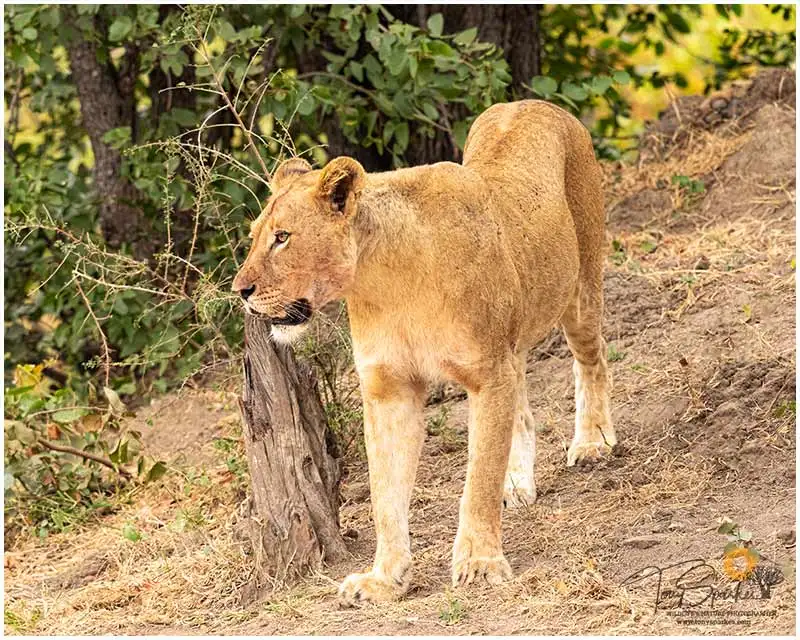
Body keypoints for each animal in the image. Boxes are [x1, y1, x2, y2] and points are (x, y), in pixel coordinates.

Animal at [232, 100, 616, 605]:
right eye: (256, 235)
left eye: (283, 237)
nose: (240, 290)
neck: (385, 280)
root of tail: (532, 103)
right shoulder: (389, 389)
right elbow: (385, 495)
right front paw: (384, 579)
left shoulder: (486, 373)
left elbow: (479, 475)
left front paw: (479, 562)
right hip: (512, 338)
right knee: (522, 404)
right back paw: (518, 482)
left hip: (579, 289)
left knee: (593, 358)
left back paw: (593, 444)